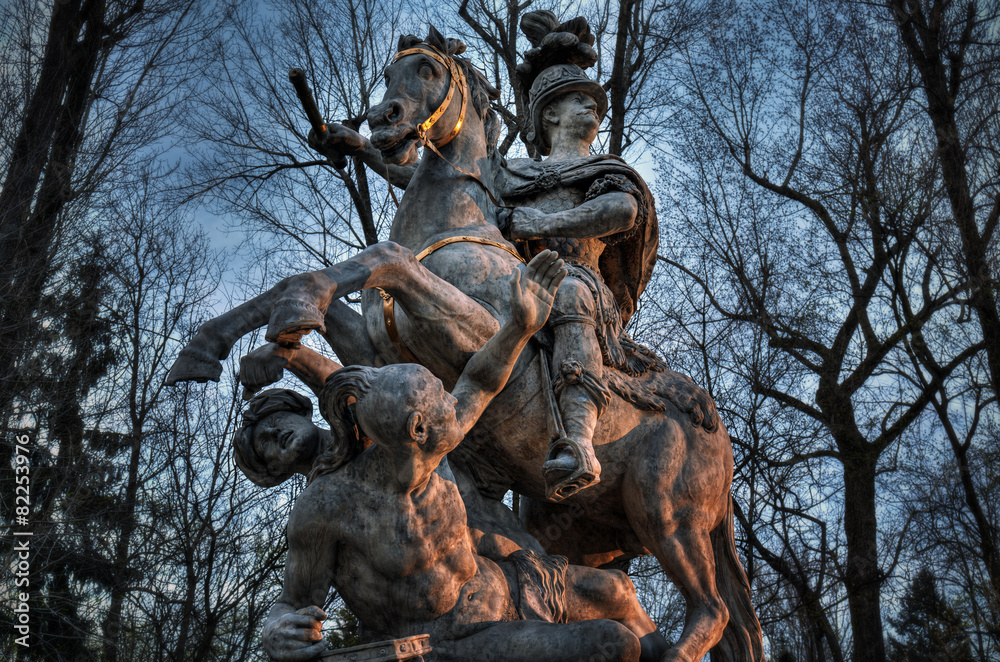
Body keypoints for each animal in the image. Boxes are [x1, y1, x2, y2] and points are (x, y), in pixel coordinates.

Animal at [166, 28, 756, 660]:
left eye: (426, 69)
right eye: (389, 73)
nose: (383, 121)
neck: (455, 224)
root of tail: (714, 426)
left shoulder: (474, 334)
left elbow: (383, 257)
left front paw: (287, 318)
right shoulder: (376, 353)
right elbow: (316, 290)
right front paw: (224, 349)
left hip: (668, 513)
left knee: (712, 609)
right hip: (588, 531)